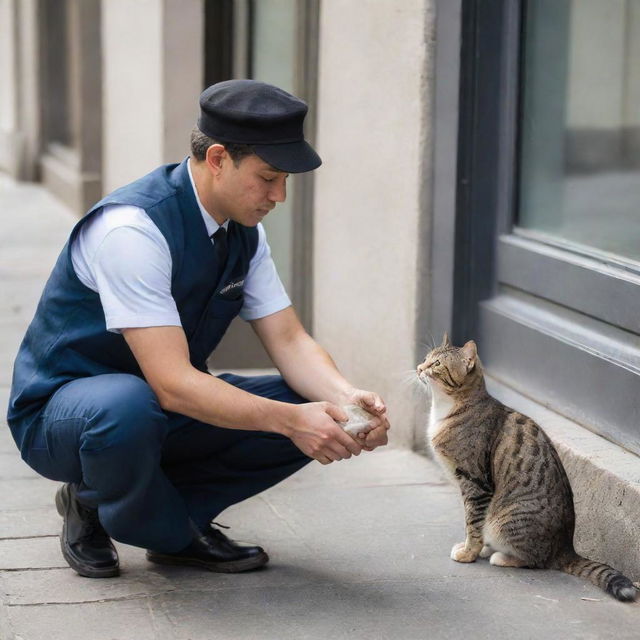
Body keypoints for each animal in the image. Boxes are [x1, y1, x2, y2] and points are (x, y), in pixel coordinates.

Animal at [416, 336, 636, 600]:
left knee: (537, 560)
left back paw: (502, 556)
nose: (418, 368)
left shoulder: (475, 482)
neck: (448, 408)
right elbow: (473, 522)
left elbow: (473, 522)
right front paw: (474, 548)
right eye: (426, 358)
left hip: (506, 521)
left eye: (437, 364)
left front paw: (469, 552)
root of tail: (566, 548)